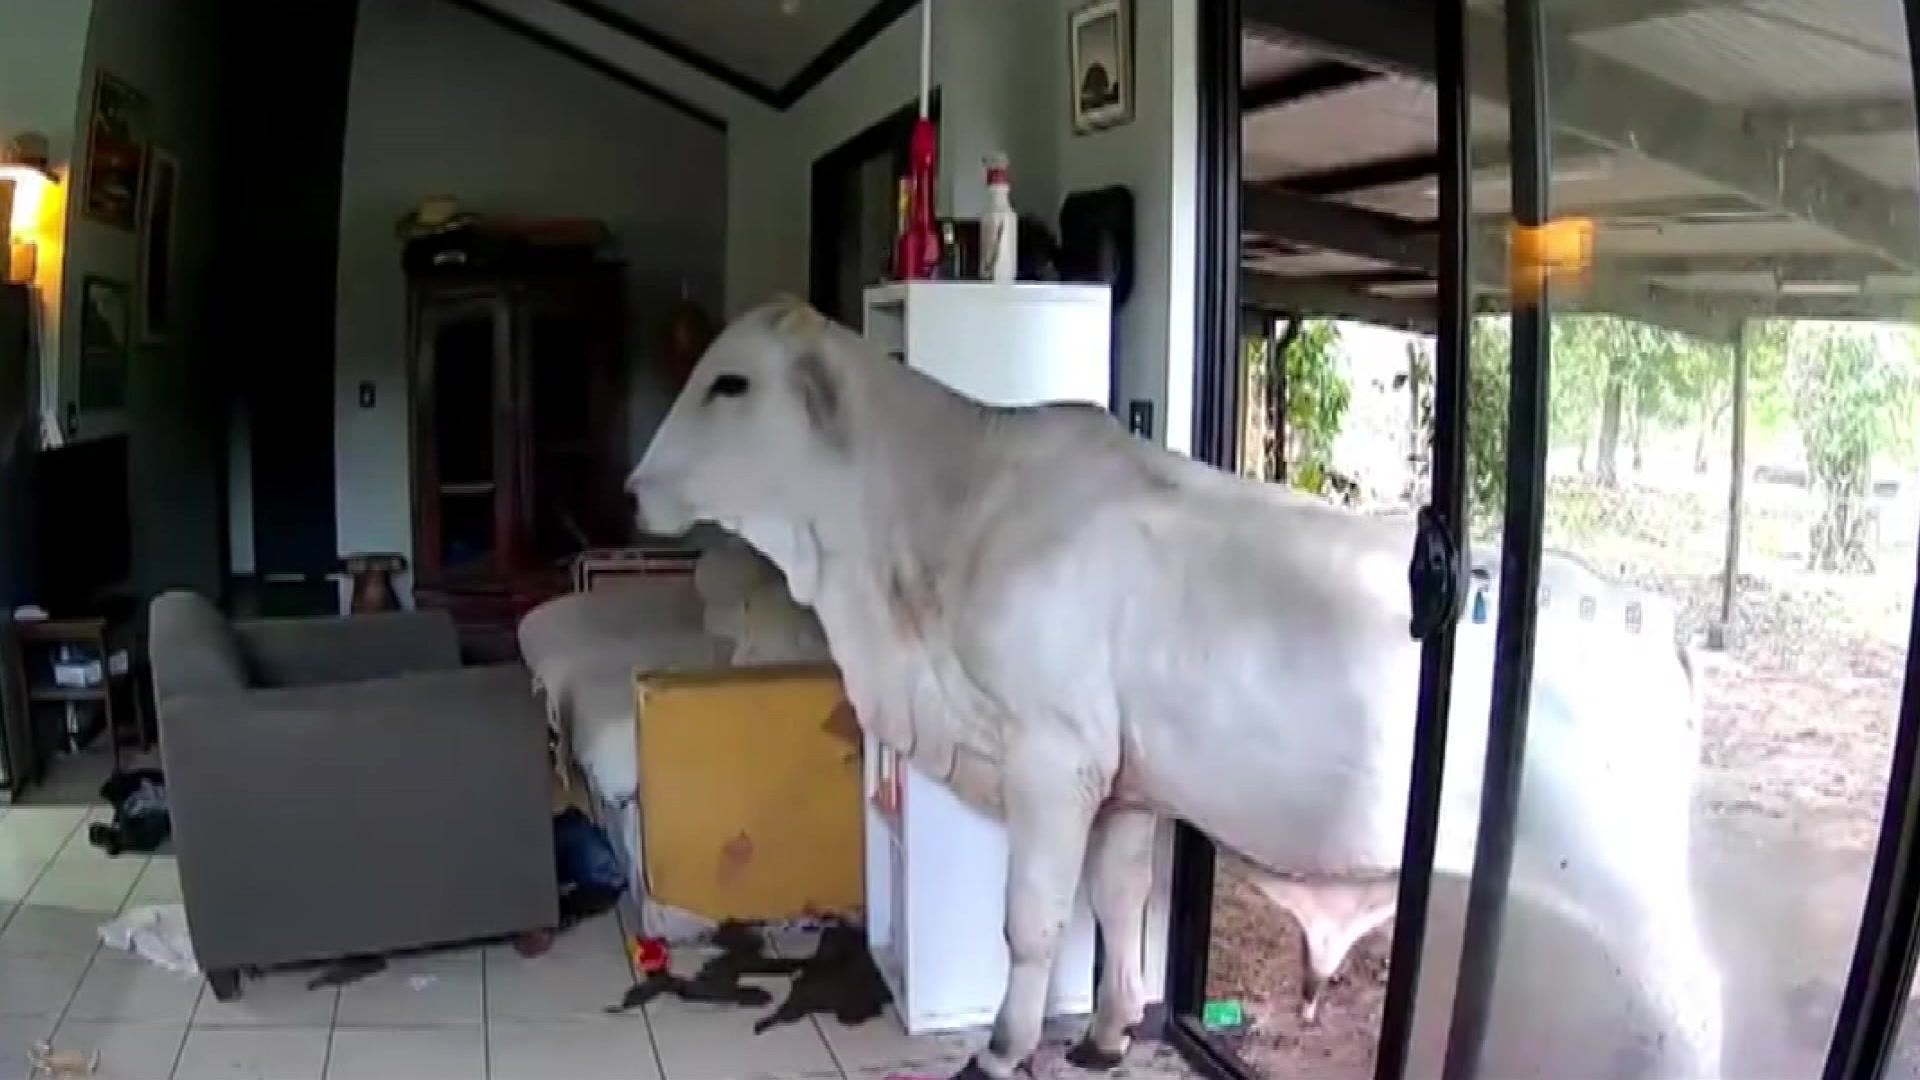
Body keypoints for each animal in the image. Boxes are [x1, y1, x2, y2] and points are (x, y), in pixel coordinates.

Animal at [627, 297, 1721, 1080]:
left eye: (730, 382)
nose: (634, 487)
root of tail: (1647, 616)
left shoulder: (1054, 756)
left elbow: (1032, 920)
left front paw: (1003, 1047)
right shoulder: (1122, 784)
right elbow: (1118, 903)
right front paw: (1107, 1033)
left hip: (1635, 902)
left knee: (1697, 1010)